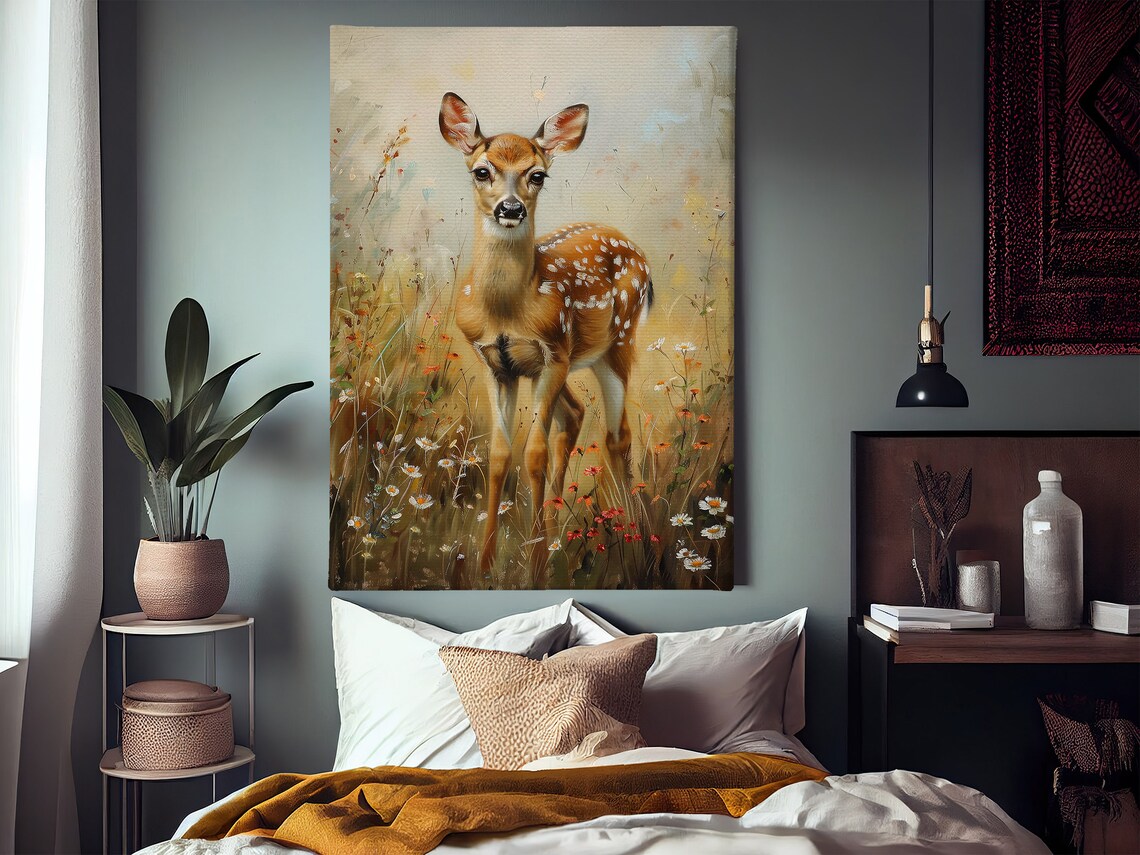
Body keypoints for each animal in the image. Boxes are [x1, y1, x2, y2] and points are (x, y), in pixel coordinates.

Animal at [439, 92, 654, 585]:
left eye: (537, 175)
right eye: (482, 171)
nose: (510, 209)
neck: (508, 309)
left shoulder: (553, 351)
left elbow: (533, 453)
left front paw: (533, 568)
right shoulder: (495, 363)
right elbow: (500, 454)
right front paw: (484, 566)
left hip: (617, 343)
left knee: (617, 434)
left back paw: (633, 545)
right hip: (571, 362)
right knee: (574, 416)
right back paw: (557, 532)